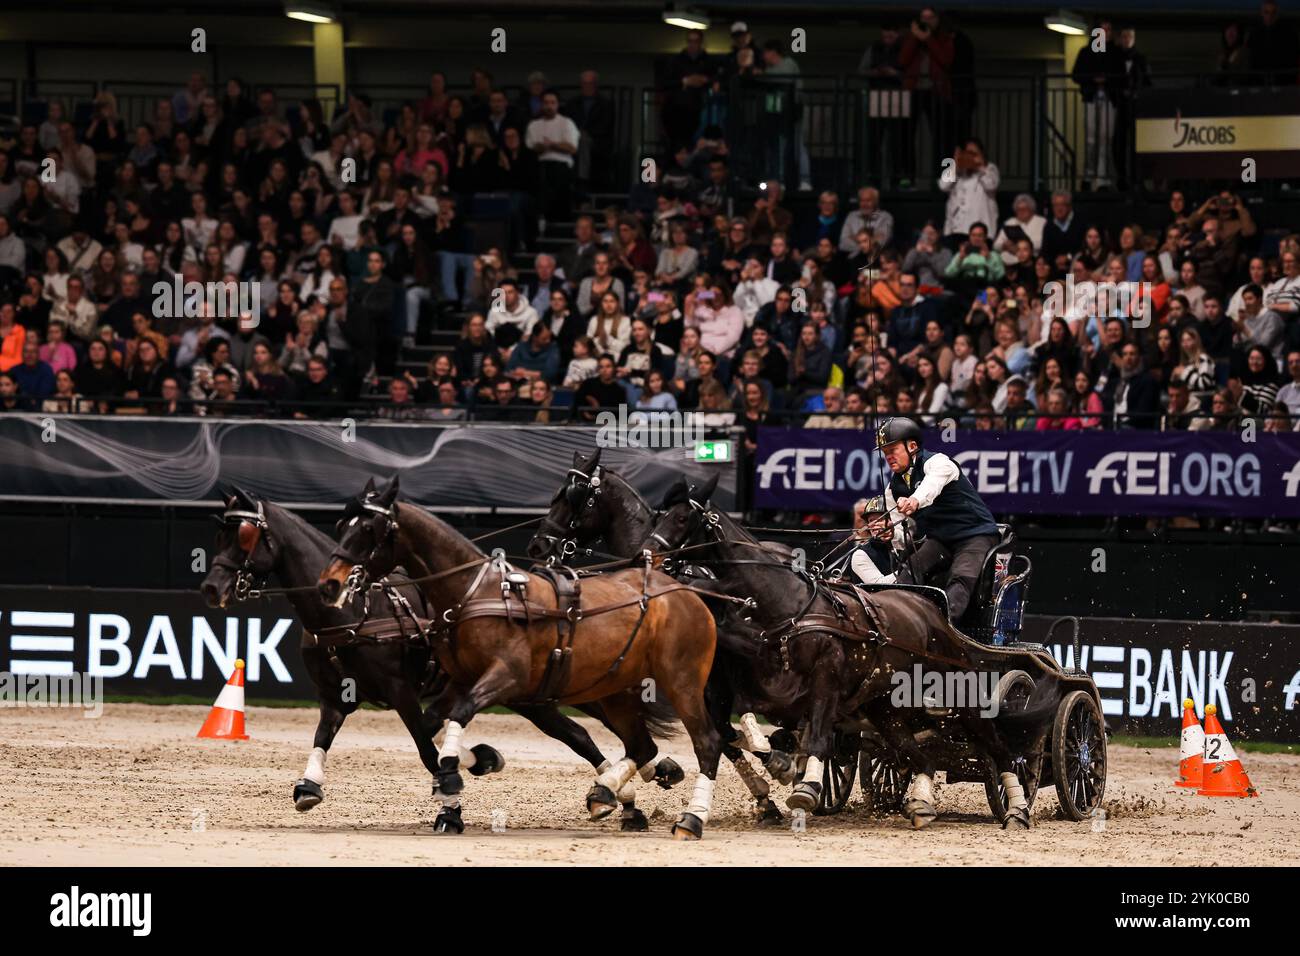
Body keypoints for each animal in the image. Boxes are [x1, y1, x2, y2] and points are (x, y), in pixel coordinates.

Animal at [200, 486, 681, 832]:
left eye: (243, 536)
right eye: (218, 534)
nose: (210, 587)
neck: (352, 612)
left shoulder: (402, 693)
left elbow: (426, 747)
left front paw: (457, 797)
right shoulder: (334, 696)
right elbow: (323, 737)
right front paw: (308, 785)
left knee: (606, 728)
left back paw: (650, 775)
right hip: (532, 698)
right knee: (578, 735)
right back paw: (629, 798)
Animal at [310, 478, 728, 837]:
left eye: (369, 530)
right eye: (341, 523)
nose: (330, 582)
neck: (478, 593)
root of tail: (684, 591)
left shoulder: (505, 677)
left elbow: (458, 714)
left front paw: (452, 774)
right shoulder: (462, 680)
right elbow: (430, 725)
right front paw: (469, 764)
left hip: (681, 682)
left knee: (707, 743)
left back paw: (691, 818)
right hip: (614, 690)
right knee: (640, 746)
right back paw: (607, 791)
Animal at [647, 478, 1034, 832]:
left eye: (681, 518)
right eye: (658, 515)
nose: (648, 555)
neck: (787, 605)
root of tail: (931, 608)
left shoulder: (822, 681)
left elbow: (814, 736)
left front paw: (803, 785)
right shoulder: (763, 688)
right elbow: (750, 732)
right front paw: (782, 769)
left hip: (961, 693)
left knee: (999, 747)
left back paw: (1017, 808)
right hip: (886, 707)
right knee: (918, 756)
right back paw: (921, 804)